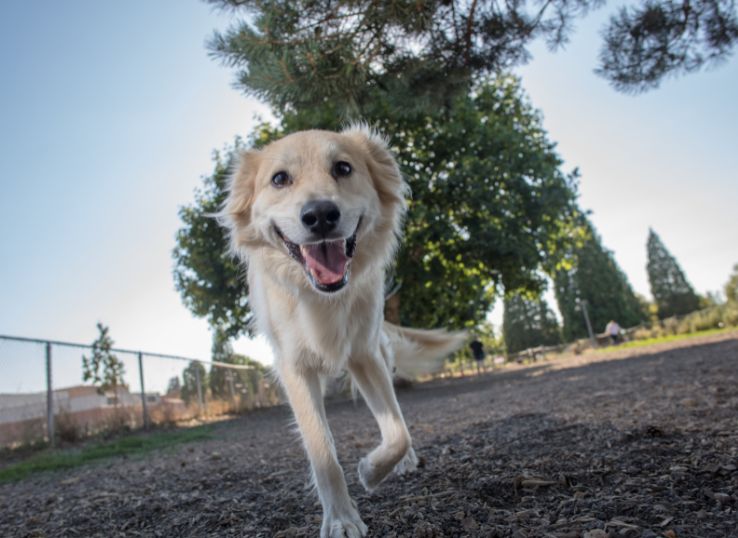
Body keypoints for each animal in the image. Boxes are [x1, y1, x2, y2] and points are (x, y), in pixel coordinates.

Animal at [218, 126, 462, 536]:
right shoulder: (295, 368)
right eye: (279, 179)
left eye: (343, 168)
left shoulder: (365, 354)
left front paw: (371, 470)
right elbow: (323, 451)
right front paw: (342, 519)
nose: (320, 215)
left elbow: (398, 431)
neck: (323, 299)